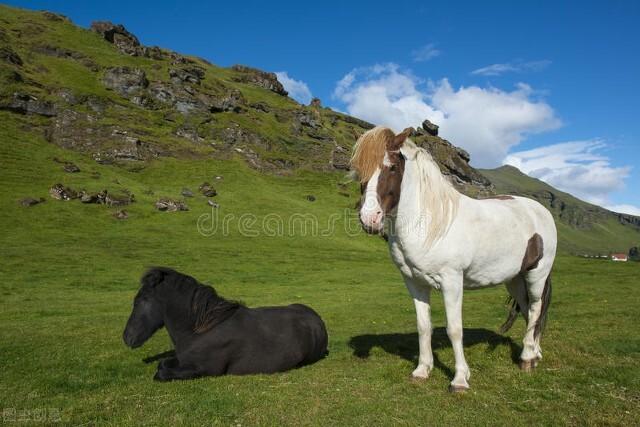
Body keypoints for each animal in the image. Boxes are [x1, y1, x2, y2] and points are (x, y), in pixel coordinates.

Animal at [123, 268, 328, 382]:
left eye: (141, 300)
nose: (127, 337)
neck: (200, 330)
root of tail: (317, 319)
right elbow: (162, 364)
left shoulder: (203, 370)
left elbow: (161, 373)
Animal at [352, 126, 556, 392]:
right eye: (359, 170)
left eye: (392, 167)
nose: (370, 219)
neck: (430, 224)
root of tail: (540, 211)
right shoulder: (415, 283)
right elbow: (423, 326)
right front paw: (422, 370)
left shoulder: (451, 282)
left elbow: (454, 329)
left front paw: (459, 379)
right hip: (514, 279)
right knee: (527, 310)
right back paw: (535, 352)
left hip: (536, 274)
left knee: (535, 308)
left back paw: (527, 359)